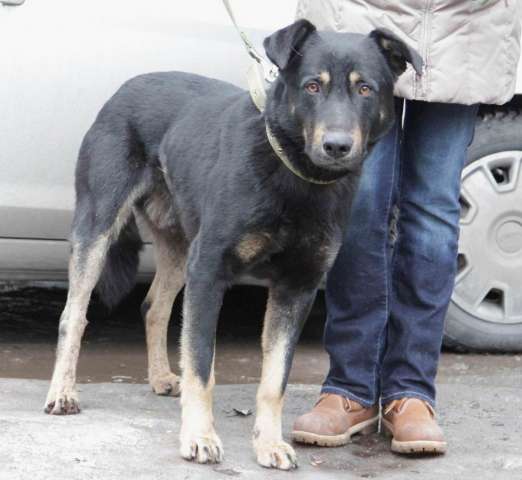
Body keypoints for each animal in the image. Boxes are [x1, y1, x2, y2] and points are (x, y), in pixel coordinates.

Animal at [43, 20, 418, 470]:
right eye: (312, 86)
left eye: (366, 89)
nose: (337, 146)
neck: (295, 177)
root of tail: (124, 88)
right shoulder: (209, 272)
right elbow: (202, 367)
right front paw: (199, 437)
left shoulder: (296, 289)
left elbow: (274, 379)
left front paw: (269, 443)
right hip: (99, 226)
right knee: (74, 315)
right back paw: (62, 392)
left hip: (180, 249)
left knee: (154, 307)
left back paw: (159, 376)